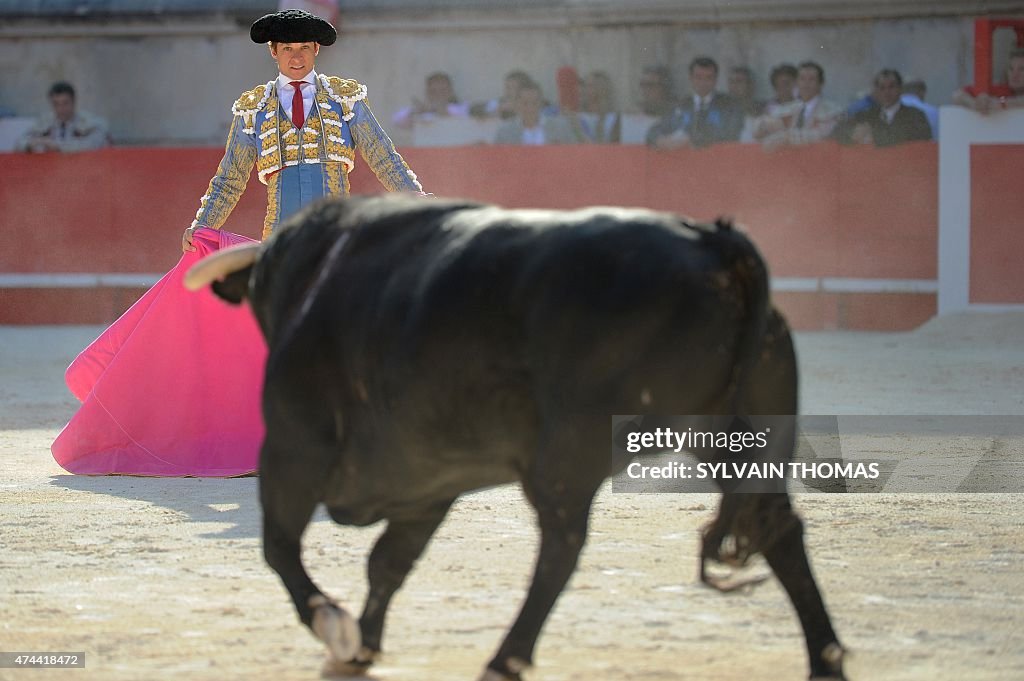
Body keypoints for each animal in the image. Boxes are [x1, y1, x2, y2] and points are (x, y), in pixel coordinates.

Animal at [188, 193, 843, 675]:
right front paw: (362, 646)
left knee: (562, 545)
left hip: (568, 452)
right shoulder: (427, 483)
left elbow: (279, 546)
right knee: (778, 529)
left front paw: (335, 627)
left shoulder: (293, 447)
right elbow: (386, 565)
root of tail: (716, 244)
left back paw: (505, 660)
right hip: (732, 437)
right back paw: (826, 660)